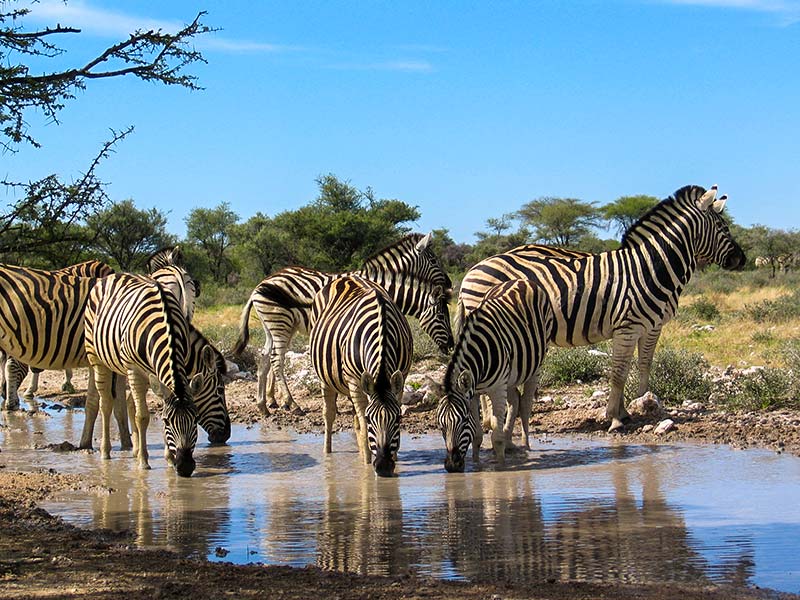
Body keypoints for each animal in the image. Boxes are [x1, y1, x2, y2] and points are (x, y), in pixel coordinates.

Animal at [84, 274, 202, 478]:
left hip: (124, 368)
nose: (185, 467)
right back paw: (105, 452)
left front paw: (169, 459)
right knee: (105, 404)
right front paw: (144, 462)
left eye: (195, 420)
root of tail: (111, 275)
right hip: (98, 359)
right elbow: (142, 417)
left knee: (127, 403)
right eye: (167, 421)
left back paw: (135, 450)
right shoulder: (134, 370)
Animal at [234, 232, 454, 414]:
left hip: (273, 327)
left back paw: (265, 404)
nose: (450, 283)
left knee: (265, 358)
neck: (382, 284)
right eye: (433, 260)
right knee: (276, 361)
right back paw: (291, 404)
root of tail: (259, 285)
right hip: (281, 324)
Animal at [438, 282, 556, 474]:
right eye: (441, 426)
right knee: (515, 400)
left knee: (525, 404)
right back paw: (510, 443)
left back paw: (525, 445)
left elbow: (496, 436)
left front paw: (500, 466)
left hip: (536, 363)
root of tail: (522, 281)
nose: (452, 466)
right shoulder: (473, 394)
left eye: (463, 421)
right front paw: (476, 464)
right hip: (512, 373)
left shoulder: (497, 388)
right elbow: (477, 436)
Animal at [456, 183, 752, 432]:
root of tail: (472, 271)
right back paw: (492, 420)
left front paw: (643, 407)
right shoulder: (628, 326)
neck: (652, 267)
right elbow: (619, 374)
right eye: (723, 228)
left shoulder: (651, 327)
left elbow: (642, 366)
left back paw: (489, 420)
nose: (742, 259)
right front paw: (615, 418)